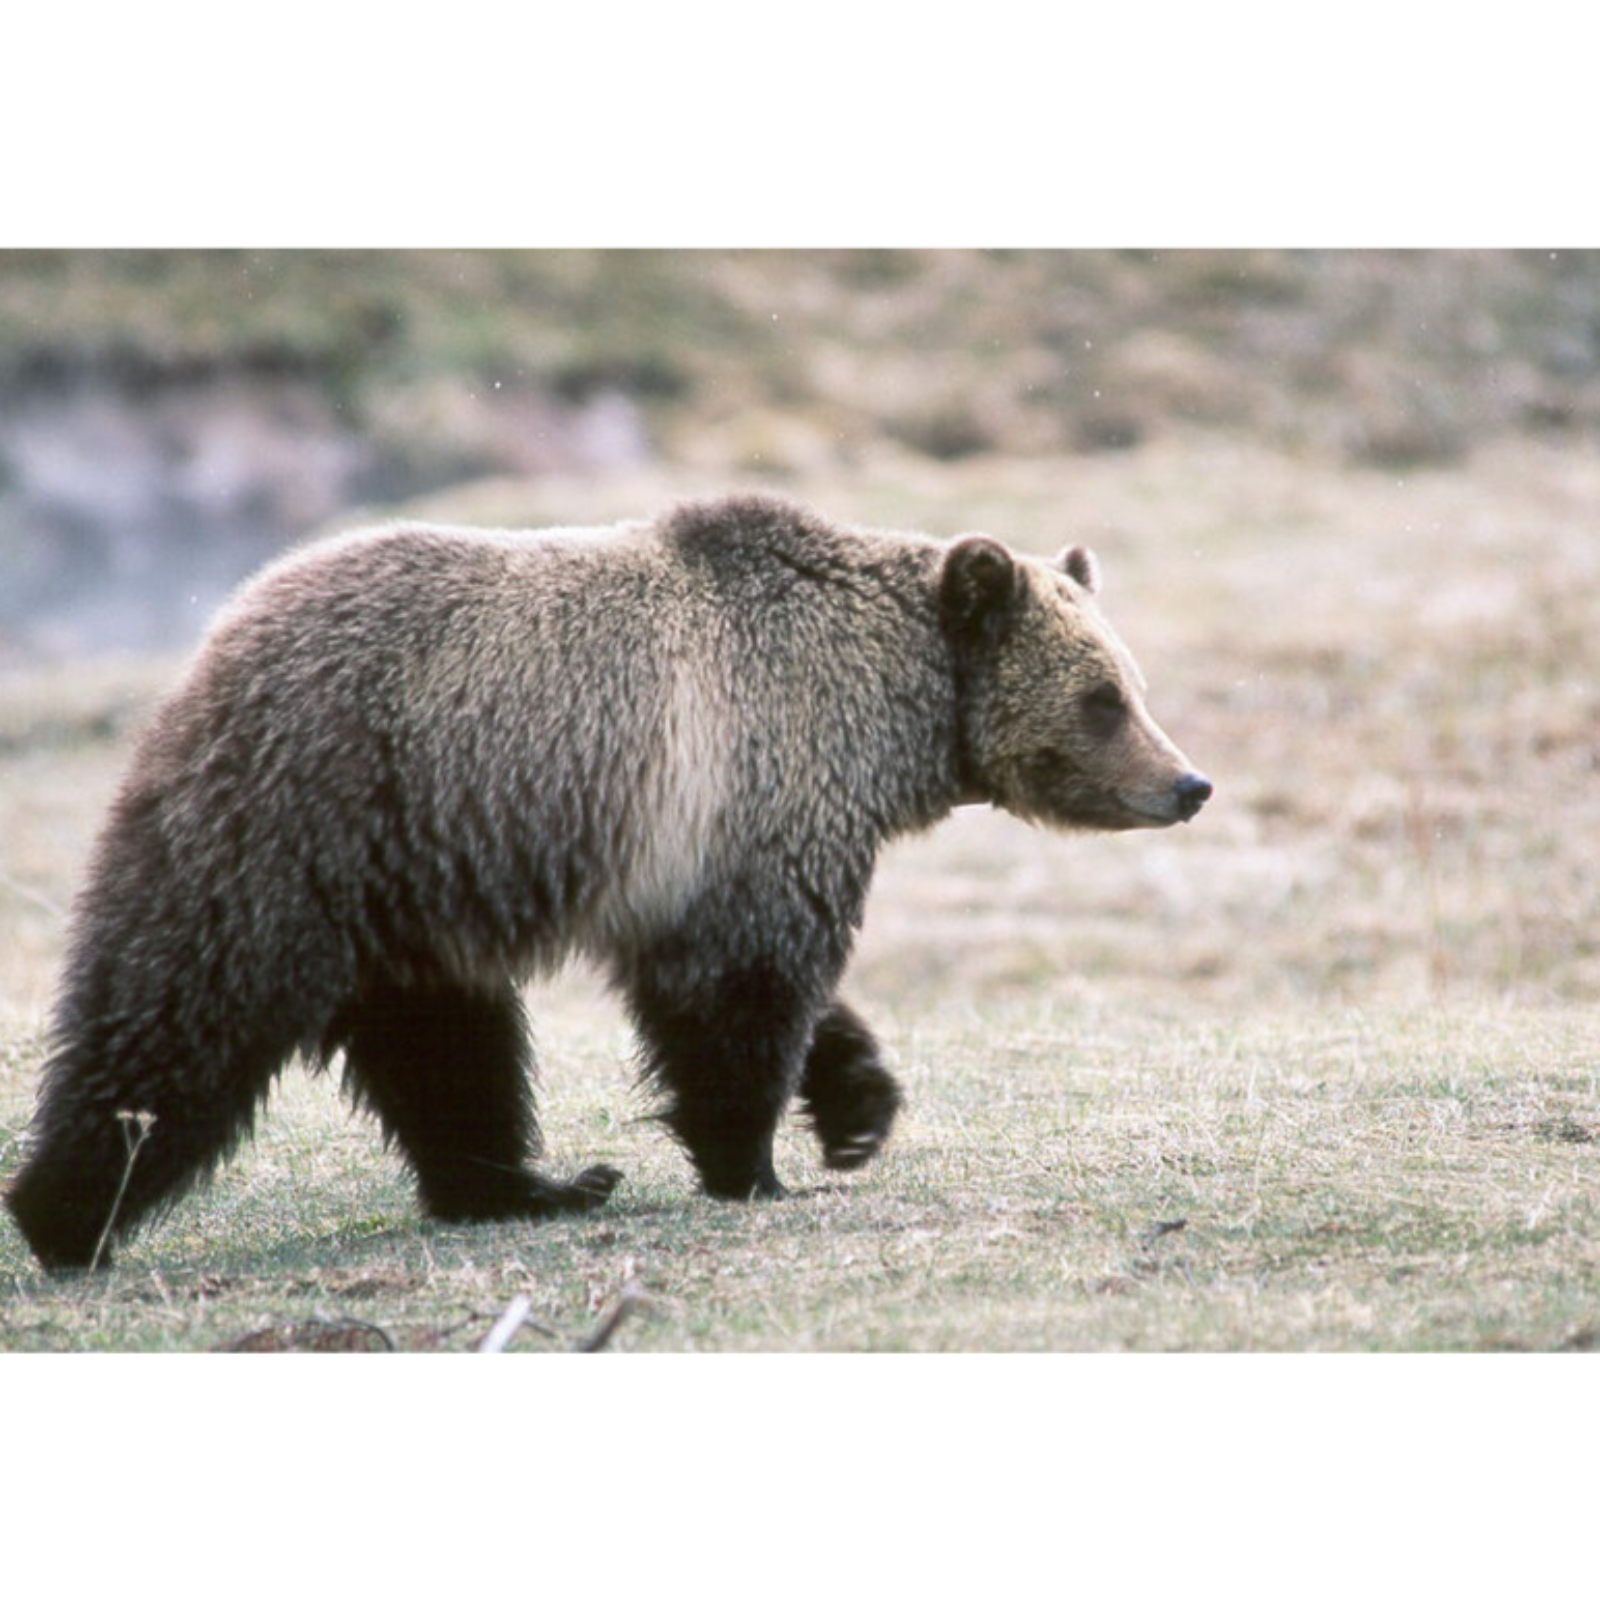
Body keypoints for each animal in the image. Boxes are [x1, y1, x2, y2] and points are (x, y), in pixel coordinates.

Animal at [5, 493, 1210, 1269]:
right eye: (1103, 696)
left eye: (1133, 683)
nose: (1187, 782)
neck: (888, 711)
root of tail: (213, 647)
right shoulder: (754, 784)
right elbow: (742, 995)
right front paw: (753, 1164)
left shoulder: (717, 852)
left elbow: (758, 981)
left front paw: (857, 1105)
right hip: (305, 824)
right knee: (183, 1013)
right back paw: (64, 1214)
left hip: (412, 884)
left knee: (448, 1048)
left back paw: (525, 1186)